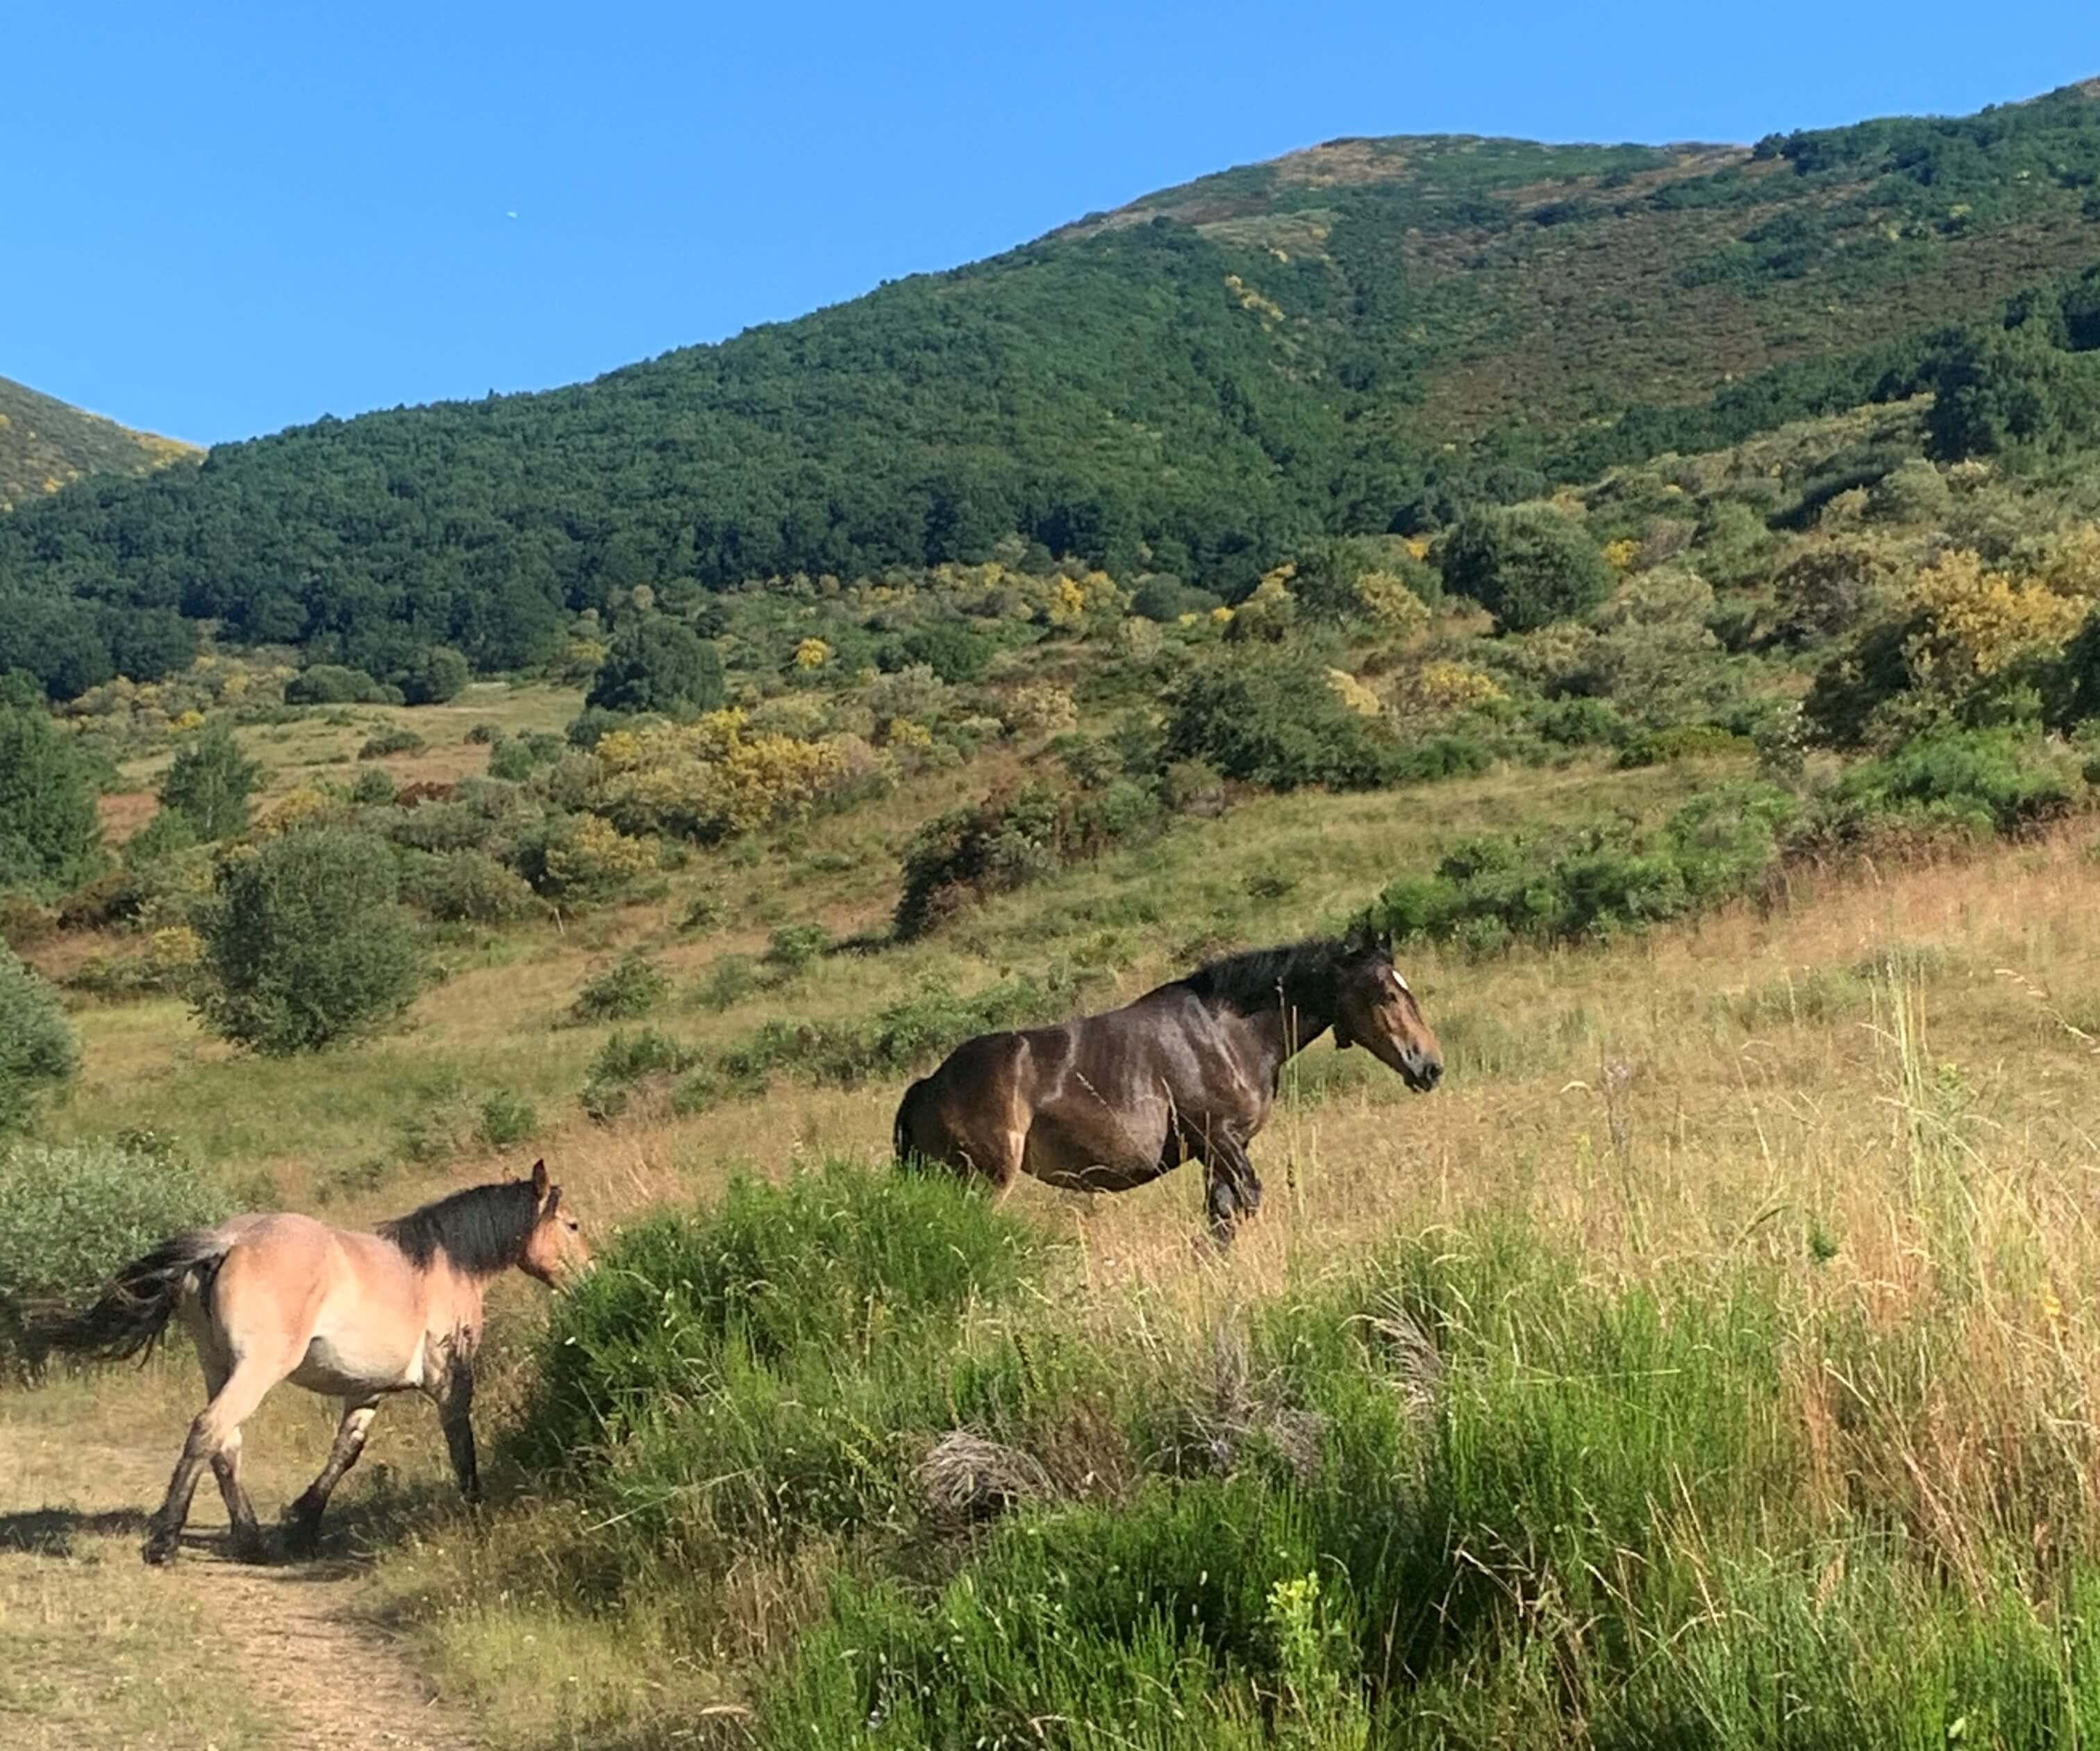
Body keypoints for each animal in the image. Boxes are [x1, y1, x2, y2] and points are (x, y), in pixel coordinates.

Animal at [33, 1159, 588, 1553]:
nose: (590, 1276)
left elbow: (345, 1453)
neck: (441, 1266)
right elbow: (462, 1448)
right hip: (257, 1369)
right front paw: (475, 1514)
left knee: (226, 1446)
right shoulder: (451, 1384)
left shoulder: (367, 1391)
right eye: (573, 1225)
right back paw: (164, 1540)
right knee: (210, 1430)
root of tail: (229, 1242)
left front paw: (303, 1522)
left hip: (217, 1365)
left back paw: (251, 1539)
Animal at [886, 928, 1444, 1226]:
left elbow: (1221, 1214)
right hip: (981, 1180)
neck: (1227, 1031)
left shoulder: (1216, 1152)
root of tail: (928, 1086)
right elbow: (1242, 1205)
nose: (1430, 1066)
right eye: (1386, 993)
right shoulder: (1221, 1139)